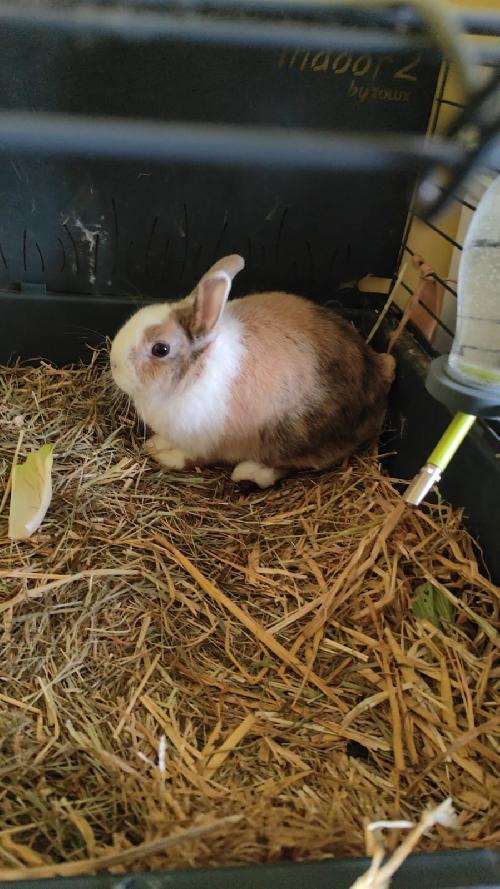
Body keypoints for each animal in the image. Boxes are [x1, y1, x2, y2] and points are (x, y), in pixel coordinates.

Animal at [110, 255, 396, 488]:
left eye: (161, 349)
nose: (114, 364)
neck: (196, 370)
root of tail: (378, 376)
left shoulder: (204, 442)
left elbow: (189, 458)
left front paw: (160, 453)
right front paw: (155, 443)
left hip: (290, 436)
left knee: (285, 465)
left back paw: (248, 472)